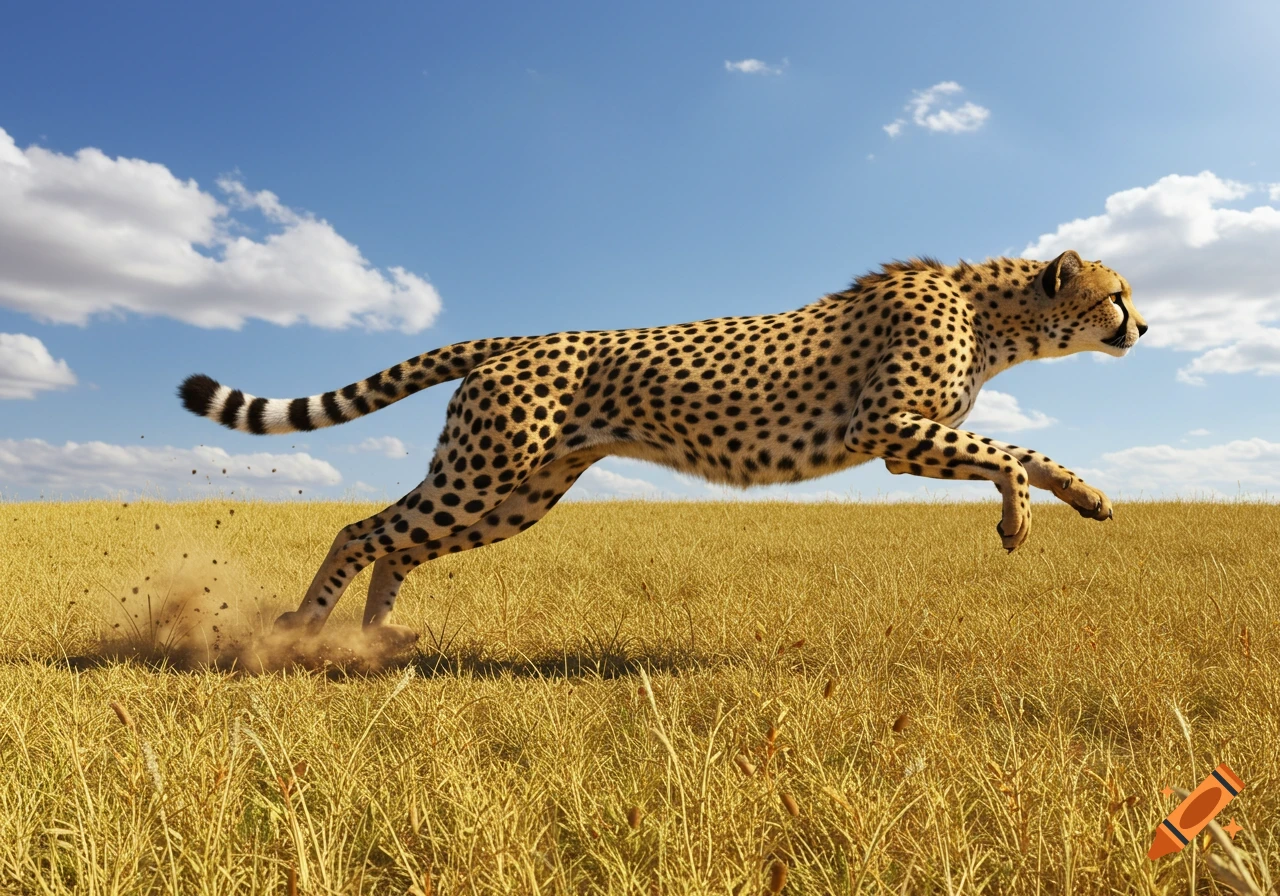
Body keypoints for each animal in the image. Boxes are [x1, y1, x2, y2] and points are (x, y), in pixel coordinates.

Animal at [179, 249, 1146, 644]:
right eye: (1117, 294)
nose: (1143, 327)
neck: (995, 314)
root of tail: (519, 338)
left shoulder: (912, 434)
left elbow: (1028, 449)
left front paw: (1090, 497)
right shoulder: (887, 430)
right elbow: (1008, 450)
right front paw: (1019, 519)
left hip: (514, 496)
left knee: (399, 543)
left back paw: (375, 641)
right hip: (485, 473)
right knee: (362, 529)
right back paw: (307, 629)